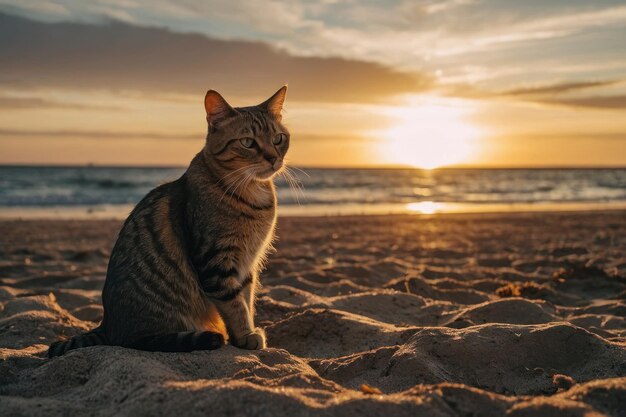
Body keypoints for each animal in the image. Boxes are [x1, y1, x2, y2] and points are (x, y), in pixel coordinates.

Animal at [47, 86, 288, 356]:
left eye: (278, 139)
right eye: (248, 142)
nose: (273, 158)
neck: (251, 193)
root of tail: (106, 325)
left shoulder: (248, 263)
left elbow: (246, 299)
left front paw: (248, 331)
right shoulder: (216, 262)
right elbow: (235, 305)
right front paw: (246, 336)